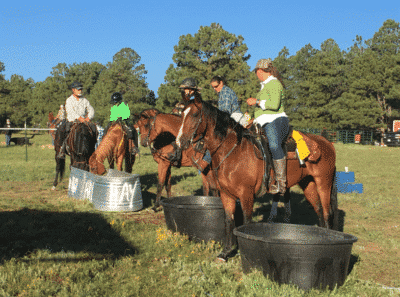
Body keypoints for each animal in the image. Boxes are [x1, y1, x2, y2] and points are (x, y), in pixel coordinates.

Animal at [177, 99, 338, 260]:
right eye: (182, 114)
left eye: (195, 114)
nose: (180, 142)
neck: (233, 152)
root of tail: (327, 142)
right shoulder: (226, 195)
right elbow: (229, 221)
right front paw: (226, 252)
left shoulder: (246, 195)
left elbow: (246, 224)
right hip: (308, 184)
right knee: (319, 210)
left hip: (324, 183)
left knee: (327, 212)